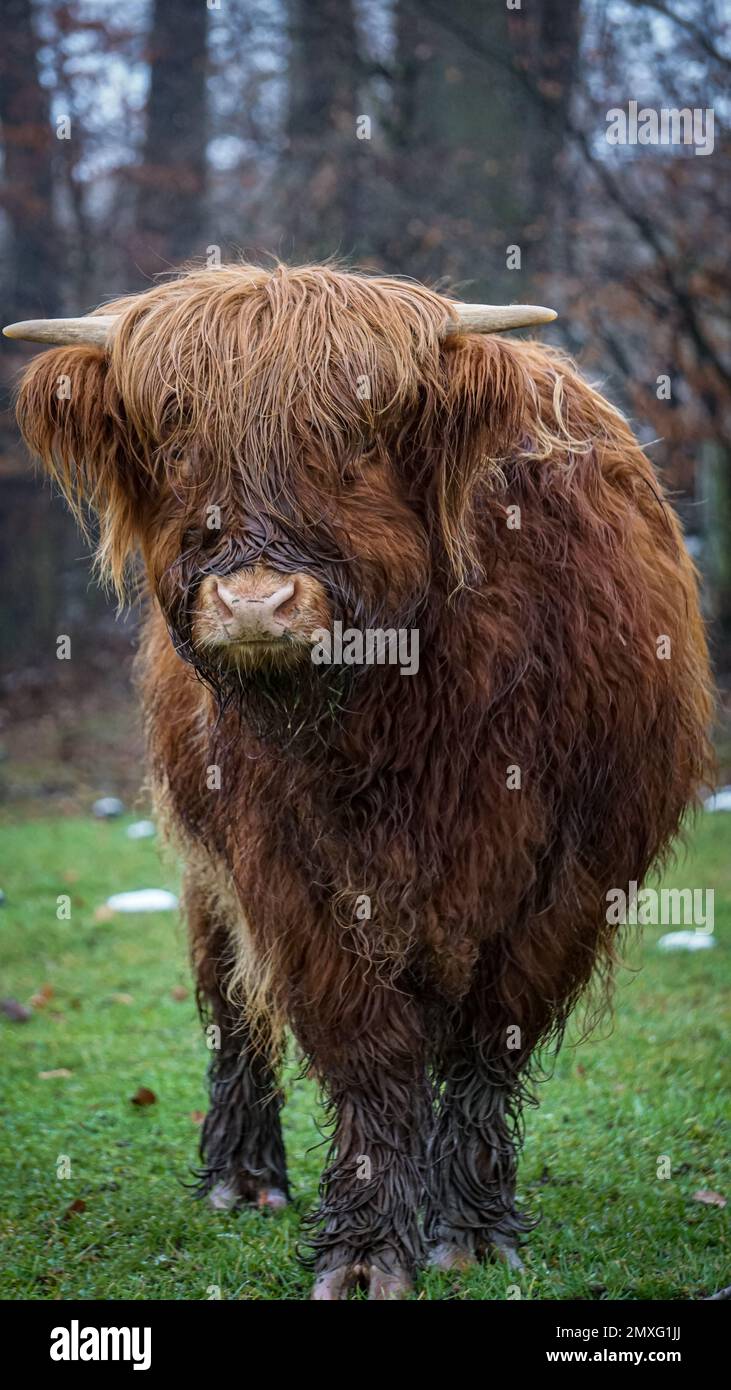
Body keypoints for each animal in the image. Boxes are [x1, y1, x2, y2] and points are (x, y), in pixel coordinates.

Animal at [7, 263, 712, 1299]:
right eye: (177, 443)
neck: (410, 712)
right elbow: (366, 1052)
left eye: (357, 443)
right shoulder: (283, 873)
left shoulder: (572, 876)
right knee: (230, 1003)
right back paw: (244, 1179)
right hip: (202, 861)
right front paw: (369, 1249)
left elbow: (488, 1040)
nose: (252, 602)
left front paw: (468, 1230)